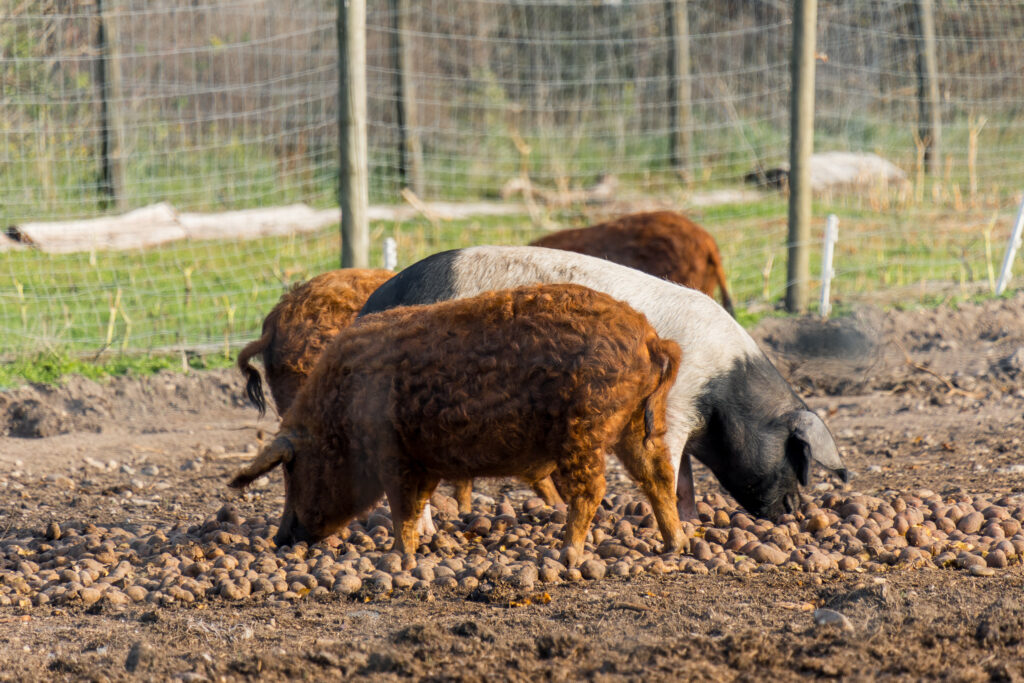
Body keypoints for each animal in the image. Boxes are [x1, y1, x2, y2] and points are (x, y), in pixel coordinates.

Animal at [228, 280, 684, 565]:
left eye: (291, 470)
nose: (281, 539)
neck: (339, 415)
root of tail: (651, 337)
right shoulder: (423, 461)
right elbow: (417, 505)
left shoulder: (393, 454)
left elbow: (402, 507)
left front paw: (400, 557)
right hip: (636, 424)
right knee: (658, 473)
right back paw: (674, 545)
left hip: (587, 425)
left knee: (593, 490)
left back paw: (565, 554)